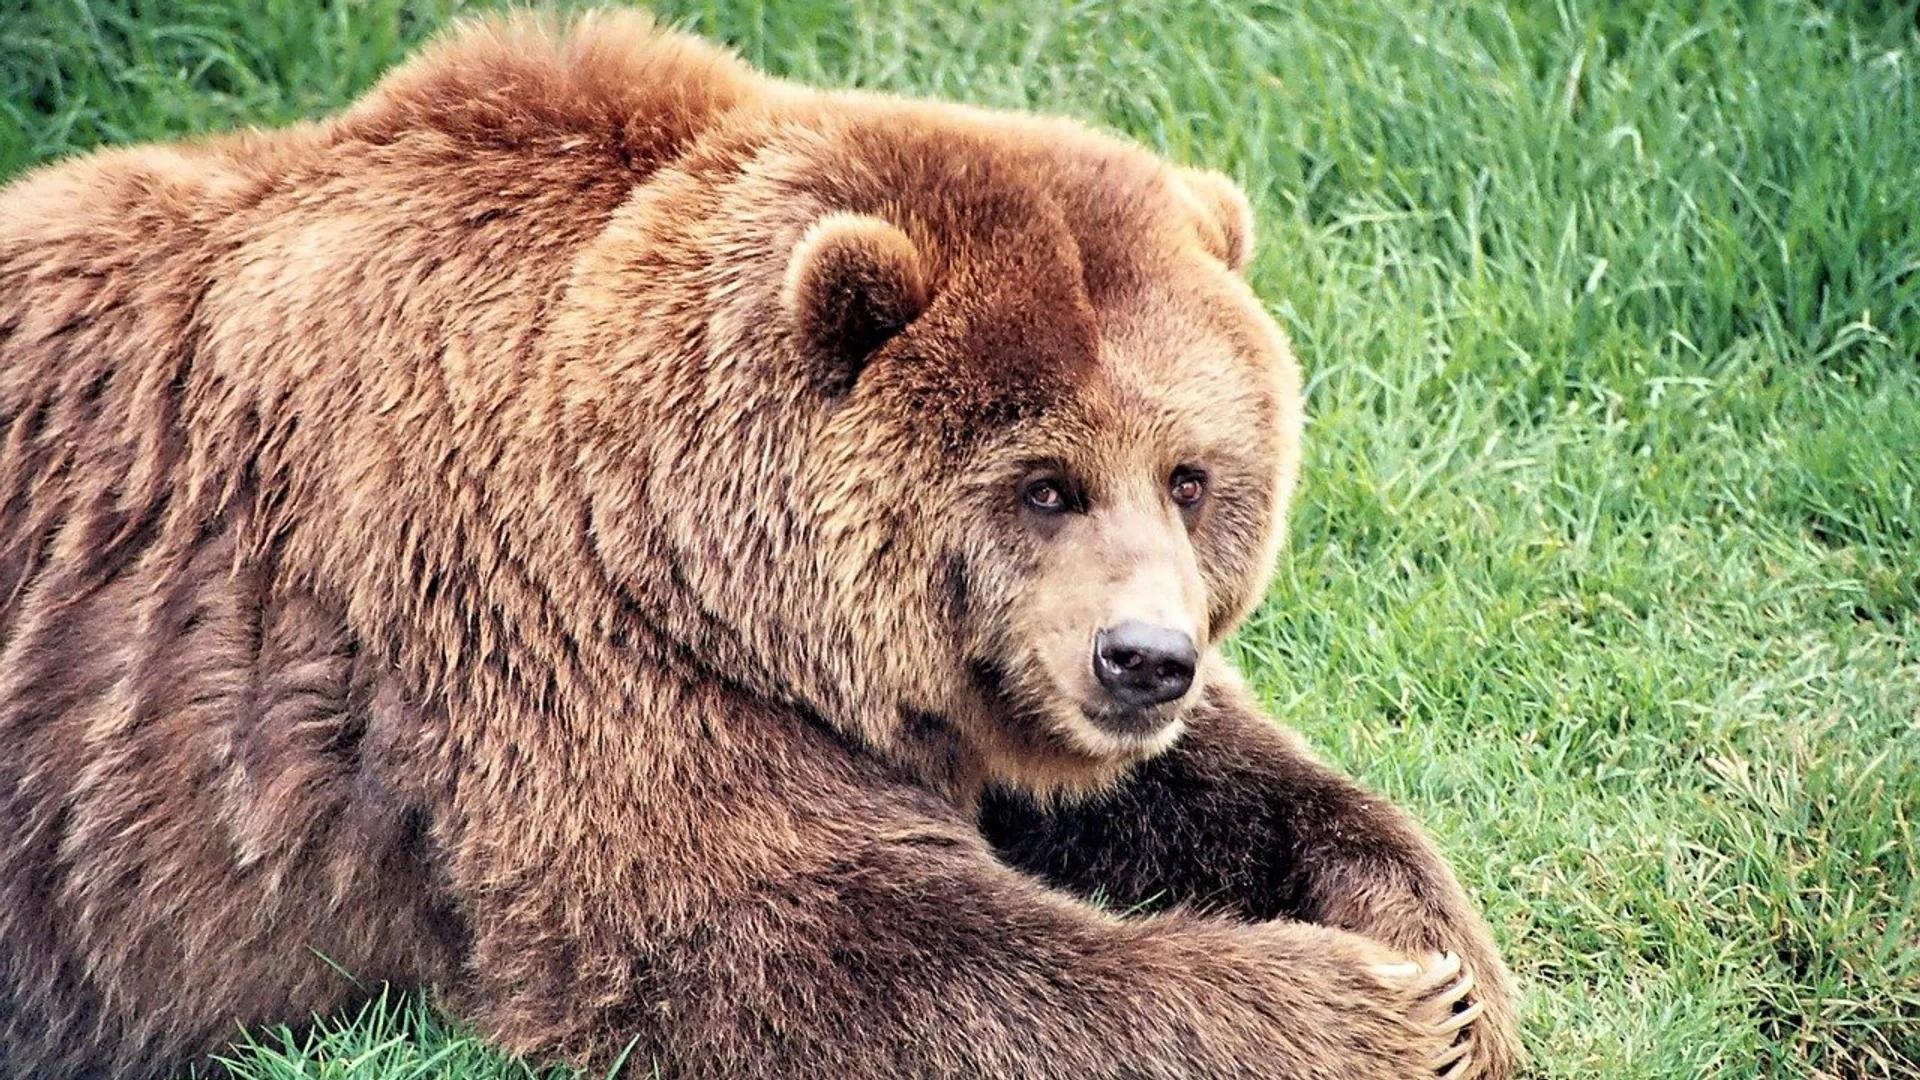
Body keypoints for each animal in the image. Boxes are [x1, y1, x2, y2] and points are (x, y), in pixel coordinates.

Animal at [0, 10, 1520, 1079]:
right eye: (1045, 485)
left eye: (1192, 477)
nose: (1141, 658)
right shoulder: (543, 633)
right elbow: (803, 935)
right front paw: (1379, 1014)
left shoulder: (944, 684)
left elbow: (1205, 787)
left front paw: (1442, 959)